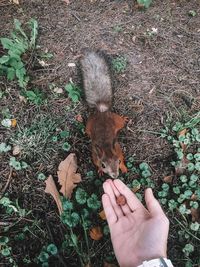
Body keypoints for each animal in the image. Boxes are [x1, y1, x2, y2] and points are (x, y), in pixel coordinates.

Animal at [80, 51, 127, 179]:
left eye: (118, 161)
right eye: (103, 165)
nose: (115, 176)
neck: (106, 147)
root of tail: (101, 111)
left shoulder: (118, 150)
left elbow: (123, 158)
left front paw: (124, 168)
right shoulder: (95, 156)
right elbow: (96, 163)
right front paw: (100, 170)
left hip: (117, 121)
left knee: (121, 121)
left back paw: (124, 118)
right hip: (88, 125)